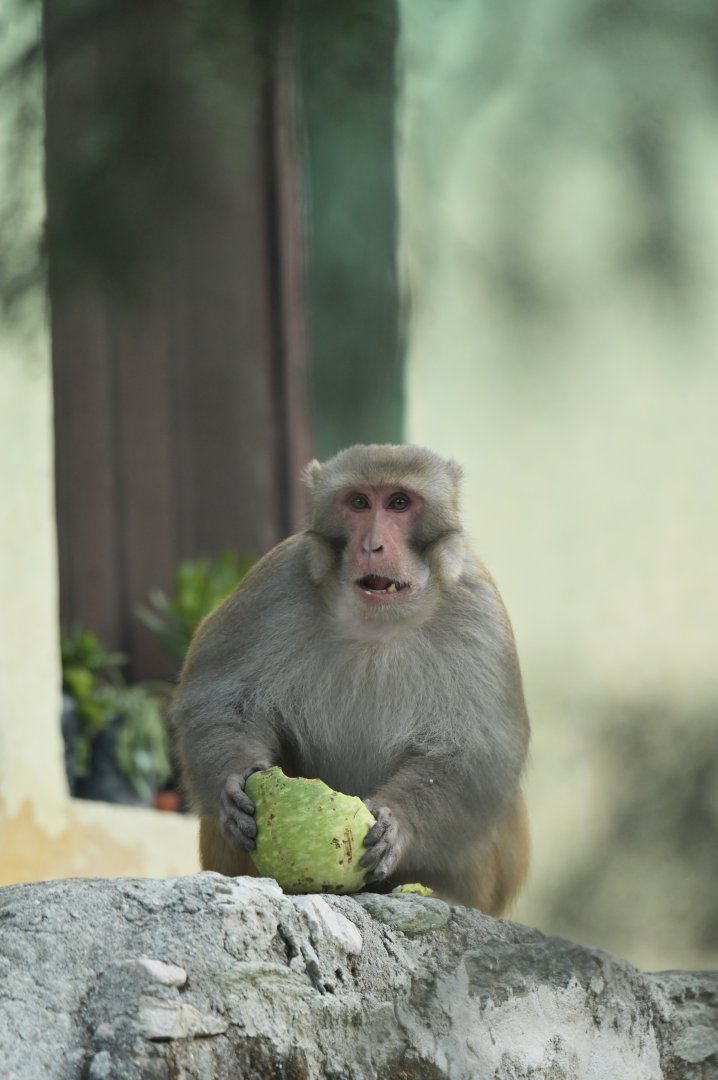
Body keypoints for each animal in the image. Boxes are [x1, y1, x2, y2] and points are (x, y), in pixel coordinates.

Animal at [172, 443, 530, 915]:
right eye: (359, 502)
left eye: (399, 503)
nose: (373, 545)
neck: (377, 622)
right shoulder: (275, 583)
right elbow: (218, 701)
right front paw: (233, 784)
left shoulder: (479, 610)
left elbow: (476, 754)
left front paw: (399, 827)